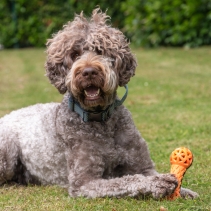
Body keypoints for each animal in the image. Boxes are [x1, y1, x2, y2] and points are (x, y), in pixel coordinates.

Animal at [0, 8, 198, 199]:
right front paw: (158, 183)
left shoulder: (143, 165)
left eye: (101, 51)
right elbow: (127, 180)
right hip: (7, 152)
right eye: (74, 54)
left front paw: (185, 191)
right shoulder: (84, 182)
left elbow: (148, 174)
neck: (101, 120)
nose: (88, 72)